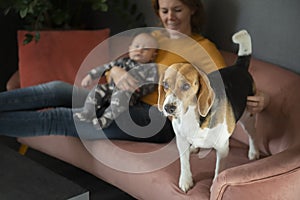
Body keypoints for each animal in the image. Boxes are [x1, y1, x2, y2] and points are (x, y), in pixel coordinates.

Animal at [157, 30, 260, 192]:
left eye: (186, 86)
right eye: (165, 85)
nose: (168, 108)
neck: (190, 116)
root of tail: (239, 67)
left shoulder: (222, 148)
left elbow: (219, 170)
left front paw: (213, 187)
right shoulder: (180, 140)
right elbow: (184, 163)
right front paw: (186, 180)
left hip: (248, 116)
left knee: (253, 134)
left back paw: (254, 152)